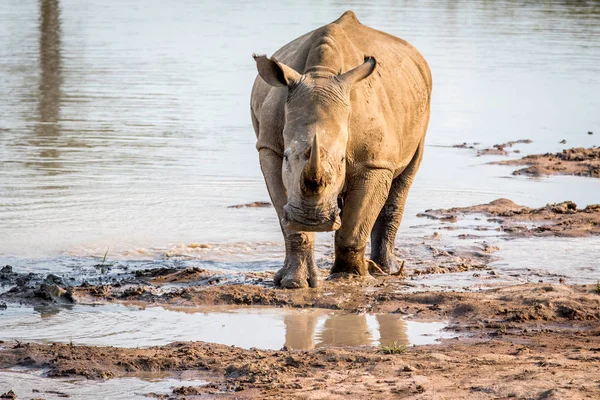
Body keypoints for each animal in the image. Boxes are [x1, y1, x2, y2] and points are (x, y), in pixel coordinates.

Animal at [250, 10, 432, 290]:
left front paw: (350, 278)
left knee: (406, 175)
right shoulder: (270, 148)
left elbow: (356, 224)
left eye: (342, 160)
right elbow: (288, 220)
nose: (312, 219)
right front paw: (294, 283)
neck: (321, 74)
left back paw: (386, 270)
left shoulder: (374, 162)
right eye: (288, 157)